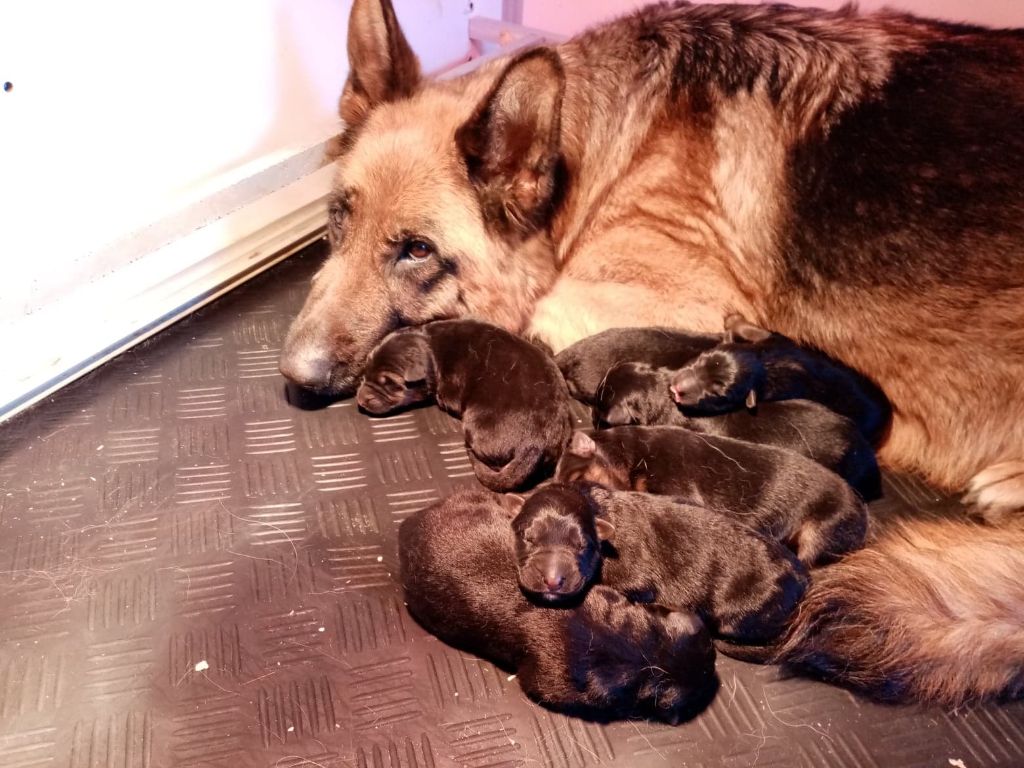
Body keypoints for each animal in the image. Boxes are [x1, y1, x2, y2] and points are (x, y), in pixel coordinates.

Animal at [356, 319, 573, 491]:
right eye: (364, 372)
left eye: (389, 383)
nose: (360, 400)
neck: (429, 348)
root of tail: (534, 446)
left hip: (475, 423)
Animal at [513, 483, 807, 644]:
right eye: (528, 537)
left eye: (582, 546)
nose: (553, 580)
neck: (597, 507)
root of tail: (803, 576)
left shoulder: (636, 581)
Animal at [670, 315, 892, 446]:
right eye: (701, 358)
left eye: (717, 394)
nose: (676, 389)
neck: (765, 362)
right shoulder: (775, 340)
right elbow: (753, 330)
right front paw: (732, 320)